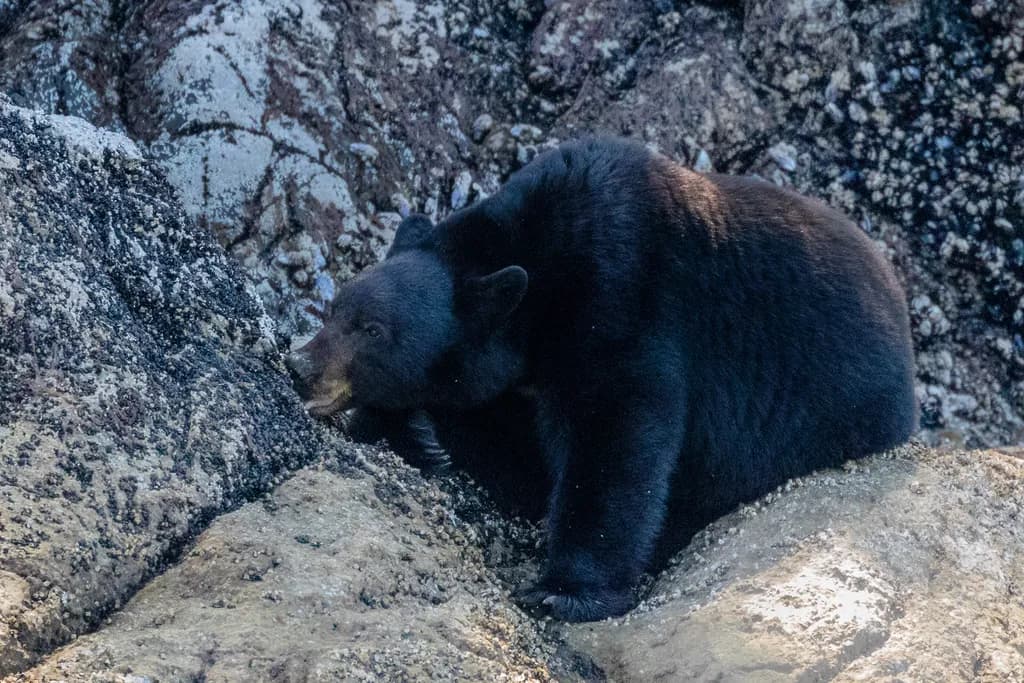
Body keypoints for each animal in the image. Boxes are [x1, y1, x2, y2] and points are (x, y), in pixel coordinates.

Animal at [286, 136, 918, 622]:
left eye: (372, 329)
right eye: (334, 309)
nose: (300, 368)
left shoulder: (623, 303)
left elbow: (615, 438)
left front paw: (564, 590)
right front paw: (411, 429)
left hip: (831, 415)